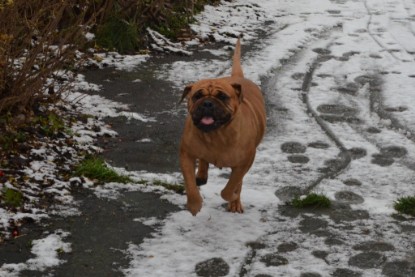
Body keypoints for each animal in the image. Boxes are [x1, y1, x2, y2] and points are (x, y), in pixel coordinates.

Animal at [180, 38, 266, 215]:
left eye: (222, 96)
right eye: (197, 95)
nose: (207, 103)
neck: (216, 135)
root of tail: (237, 77)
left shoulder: (245, 162)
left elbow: (231, 186)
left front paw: (233, 197)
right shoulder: (186, 155)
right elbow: (190, 184)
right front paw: (194, 204)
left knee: (238, 183)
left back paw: (235, 201)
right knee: (203, 162)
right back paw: (201, 175)